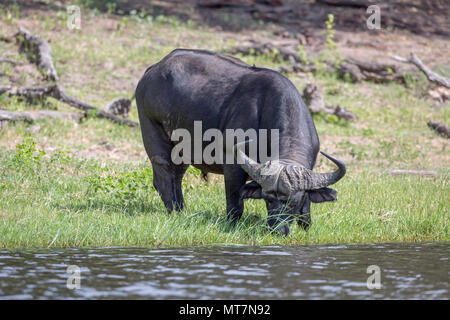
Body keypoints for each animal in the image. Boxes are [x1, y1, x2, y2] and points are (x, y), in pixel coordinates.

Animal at [135, 49, 346, 235]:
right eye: (267, 199)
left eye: (292, 203)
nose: (278, 230)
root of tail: (152, 70)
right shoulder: (233, 165)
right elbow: (235, 202)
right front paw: (232, 224)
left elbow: (306, 208)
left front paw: (305, 226)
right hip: (154, 133)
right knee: (164, 176)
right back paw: (175, 212)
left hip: (182, 150)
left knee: (176, 177)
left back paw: (182, 210)